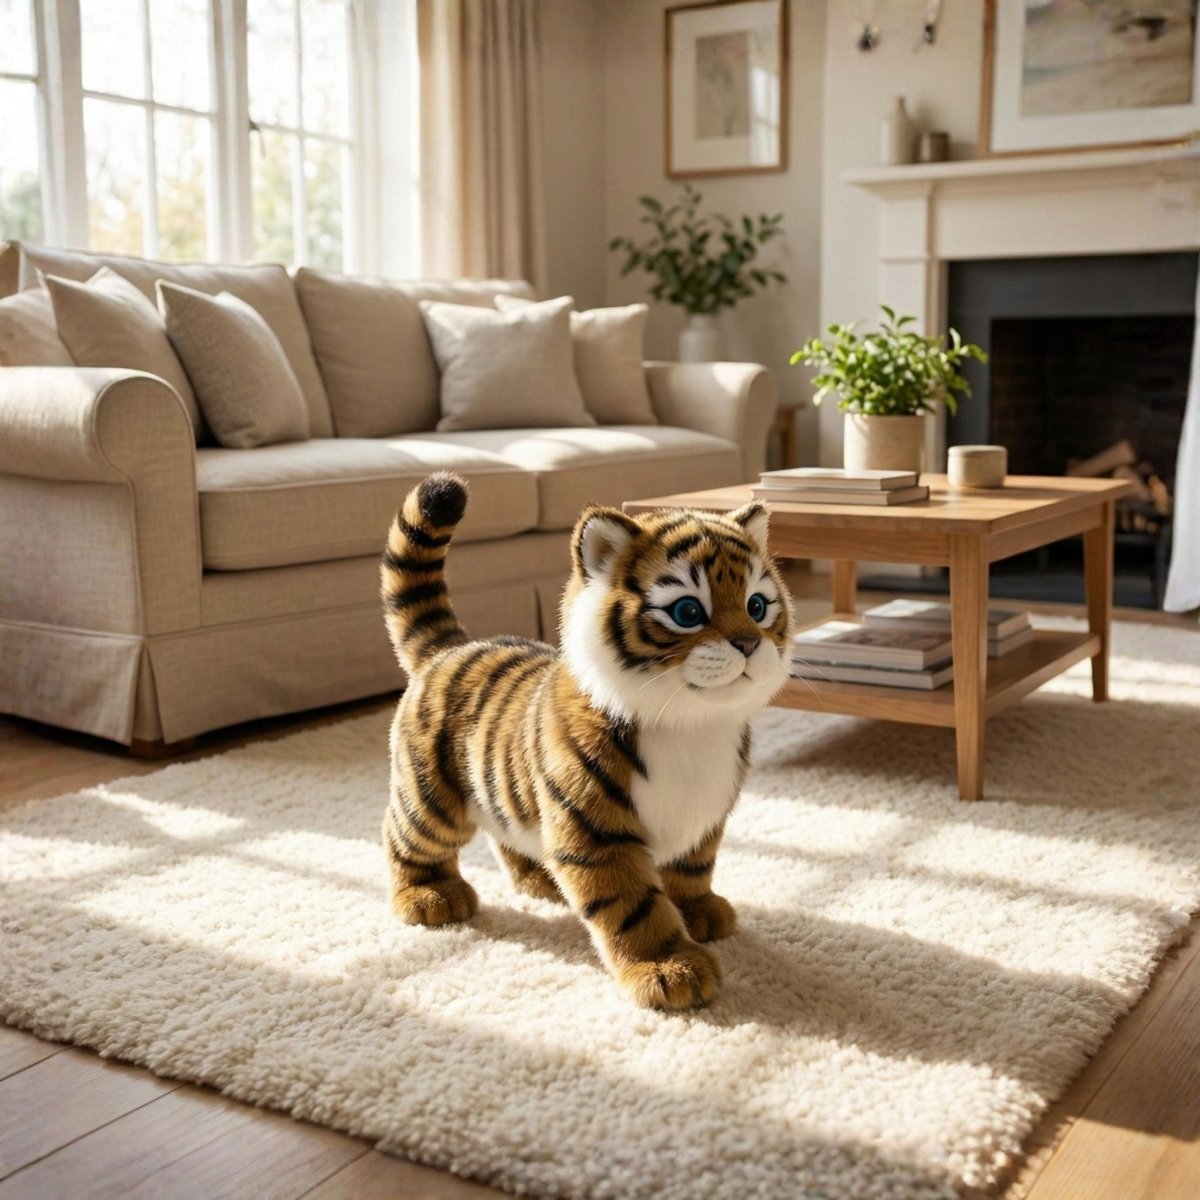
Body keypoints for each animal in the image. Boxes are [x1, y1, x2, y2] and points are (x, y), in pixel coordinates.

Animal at [380, 471, 793, 1010]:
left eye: (757, 606)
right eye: (687, 611)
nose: (748, 643)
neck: (693, 722)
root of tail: (452, 646)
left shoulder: (704, 817)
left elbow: (692, 869)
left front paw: (700, 913)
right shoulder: (597, 833)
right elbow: (633, 905)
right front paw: (669, 969)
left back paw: (540, 879)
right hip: (431, 795)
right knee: (405, 836)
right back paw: (429, 898)